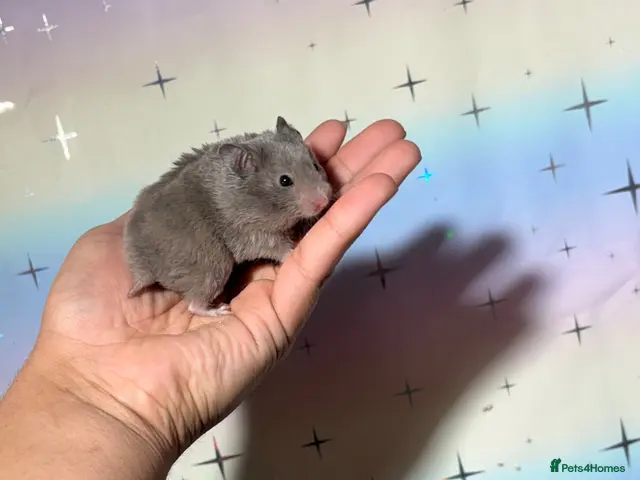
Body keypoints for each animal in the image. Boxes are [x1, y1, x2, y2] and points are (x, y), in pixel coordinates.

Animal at [123, 116, 334, 317]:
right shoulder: (250, 234)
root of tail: (145, 270)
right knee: (194, 305)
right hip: (213, 264)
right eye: (284, 181)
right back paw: (221, 310)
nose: (323, 202)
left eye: (315, 166)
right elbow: (277, 248)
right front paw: (293, 251)